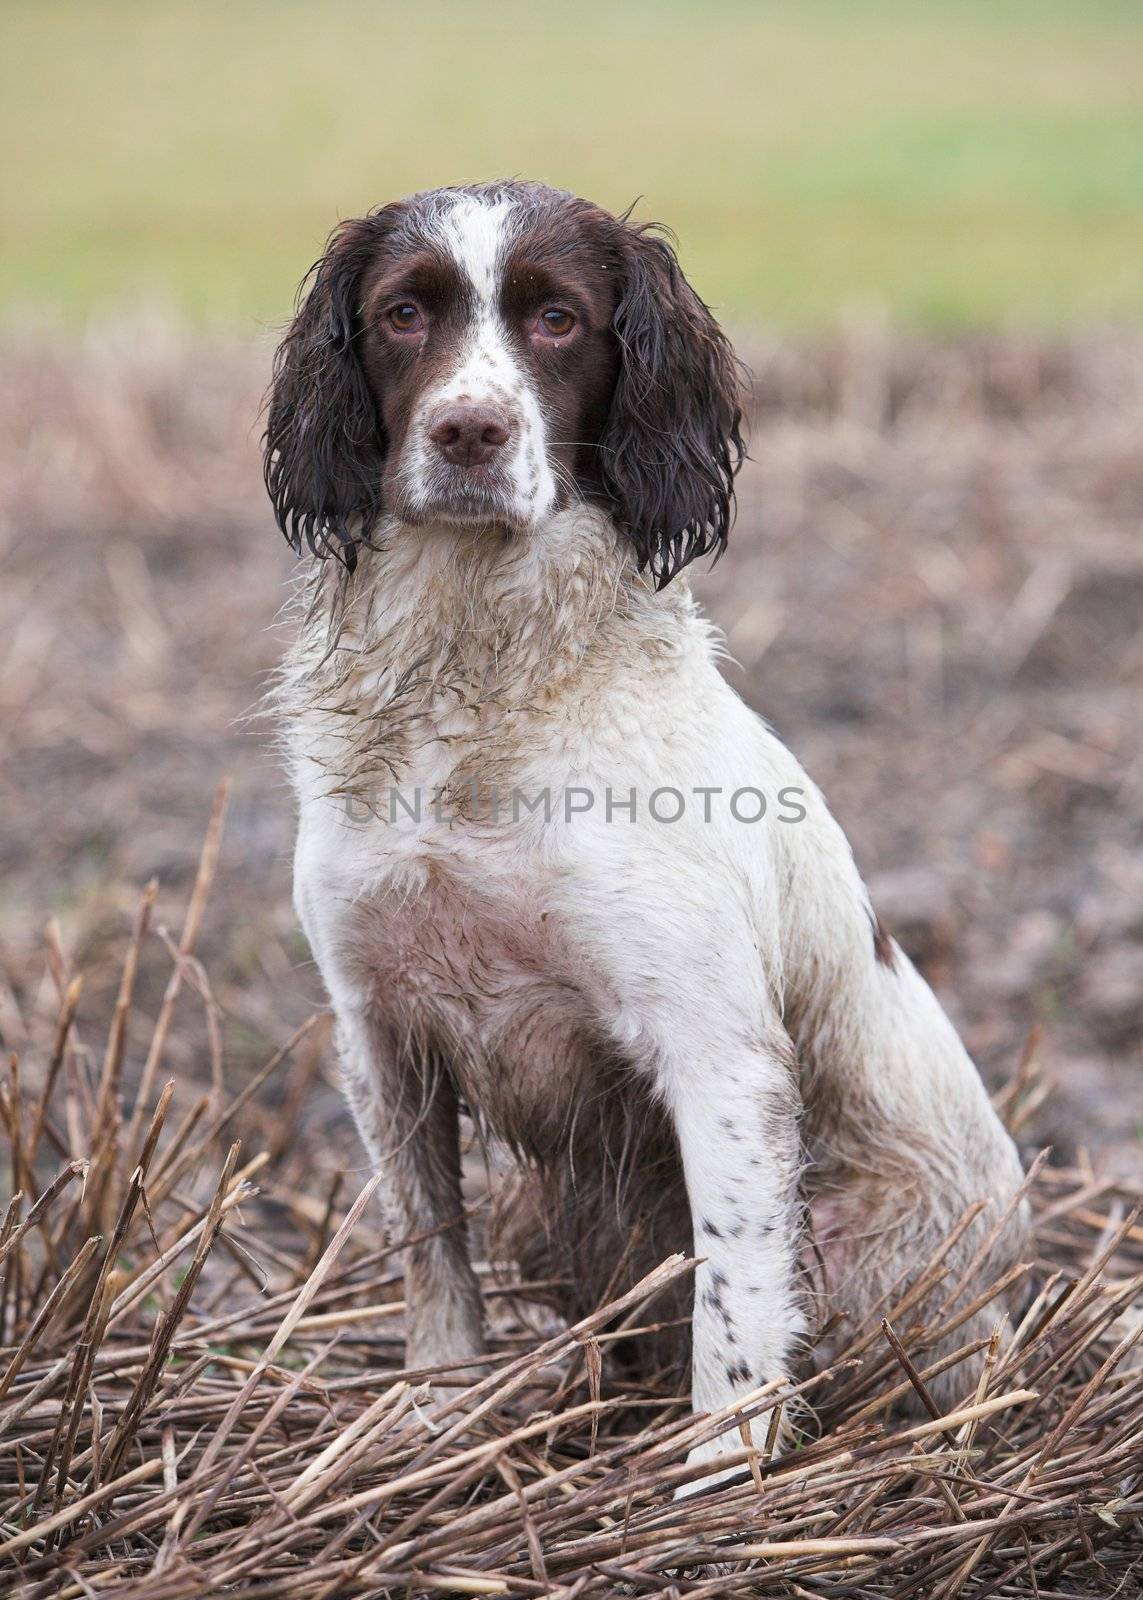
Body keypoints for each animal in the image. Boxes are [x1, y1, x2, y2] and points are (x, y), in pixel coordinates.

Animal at [264, 181, 1024, 1478]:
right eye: (404, 311)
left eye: (558, 319)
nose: (469, 431)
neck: (478, 684)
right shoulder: (380, 1034)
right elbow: (433, 1251)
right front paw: (435, 1416)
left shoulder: (717, 1053)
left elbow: (737, 1303)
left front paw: (719, 1476)